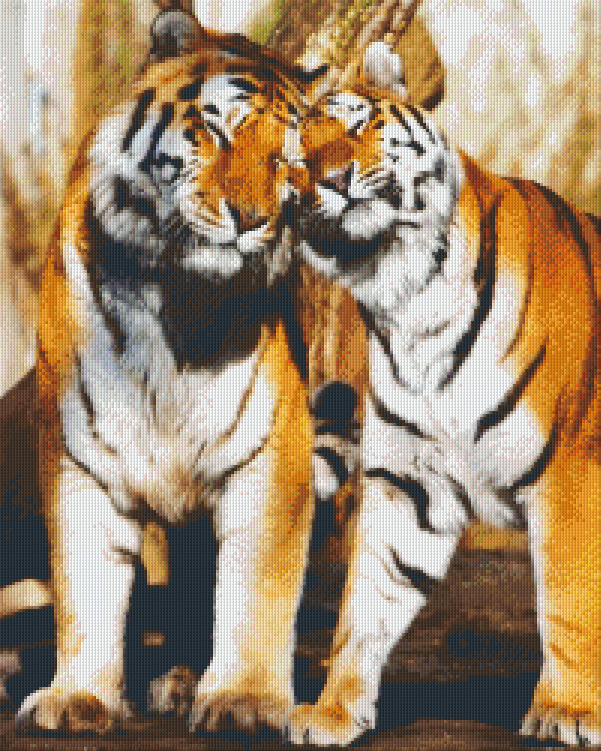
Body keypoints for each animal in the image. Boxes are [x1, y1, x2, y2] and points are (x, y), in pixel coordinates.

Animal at [19, 8, 328, 735]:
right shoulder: (78, 451)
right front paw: (79, 695)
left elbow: (258, 584)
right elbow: (86, 581)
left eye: (287, 159)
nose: (252, 219)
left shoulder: (271, 452)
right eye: (216, 129)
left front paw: (245, 699)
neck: (179, 301)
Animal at [288, 41, 601, 747]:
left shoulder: (569, 472)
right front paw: (333, 710)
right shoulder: (410, 483)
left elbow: (567, 600)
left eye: (357, 125)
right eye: (298, 156)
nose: (332, 178)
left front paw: (567, 712)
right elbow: (366, 603)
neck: (402, 296)